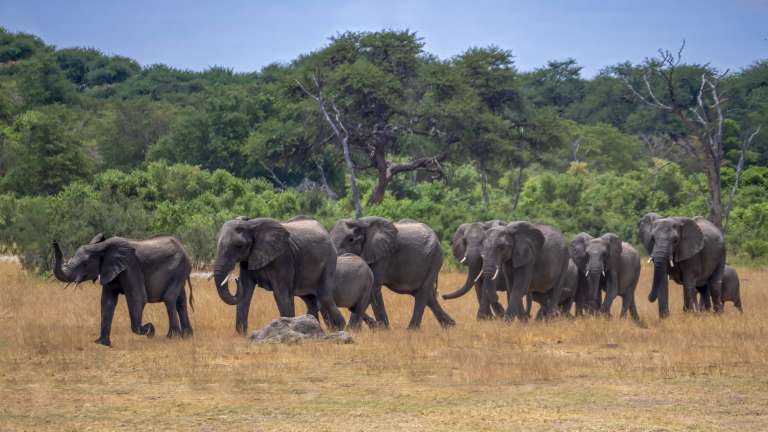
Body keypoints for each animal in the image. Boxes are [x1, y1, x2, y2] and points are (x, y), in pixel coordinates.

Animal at [52, 233, 193, 347]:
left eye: (84, 264)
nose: (54, 242)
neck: (100, 247)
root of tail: (184, 249)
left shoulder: (130, 266)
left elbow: (138, 298)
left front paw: (150, 330)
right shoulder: (109, 269)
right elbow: (107, 301)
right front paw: (102, 344)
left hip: (179, 268)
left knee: (169, 299)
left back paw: (172, 338)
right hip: (180, 272)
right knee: (180, 301)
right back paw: (187, 336)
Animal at [213, 216, 346, 335]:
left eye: (239, 245)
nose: (236, 280)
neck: (250, 225)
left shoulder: (283, 257)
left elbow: (280, 294)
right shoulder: (248, 259)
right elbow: (246, 293)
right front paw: (241, 336)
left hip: (330, 260)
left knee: (325, 296)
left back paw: (341, 328)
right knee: (310, 300)